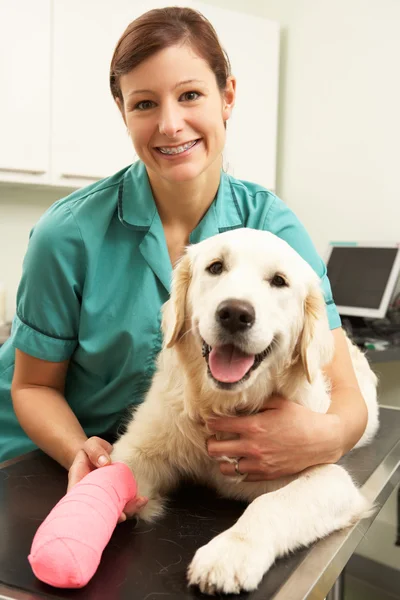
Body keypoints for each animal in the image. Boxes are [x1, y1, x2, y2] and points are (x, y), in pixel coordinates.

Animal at [111, 227, 378, 592]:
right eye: (215, 267)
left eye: (279, 281)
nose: (235, 314)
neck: (224, 408)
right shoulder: (136, 449)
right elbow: (109, 475)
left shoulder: (329, 477)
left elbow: (270, 505)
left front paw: (228, 554)